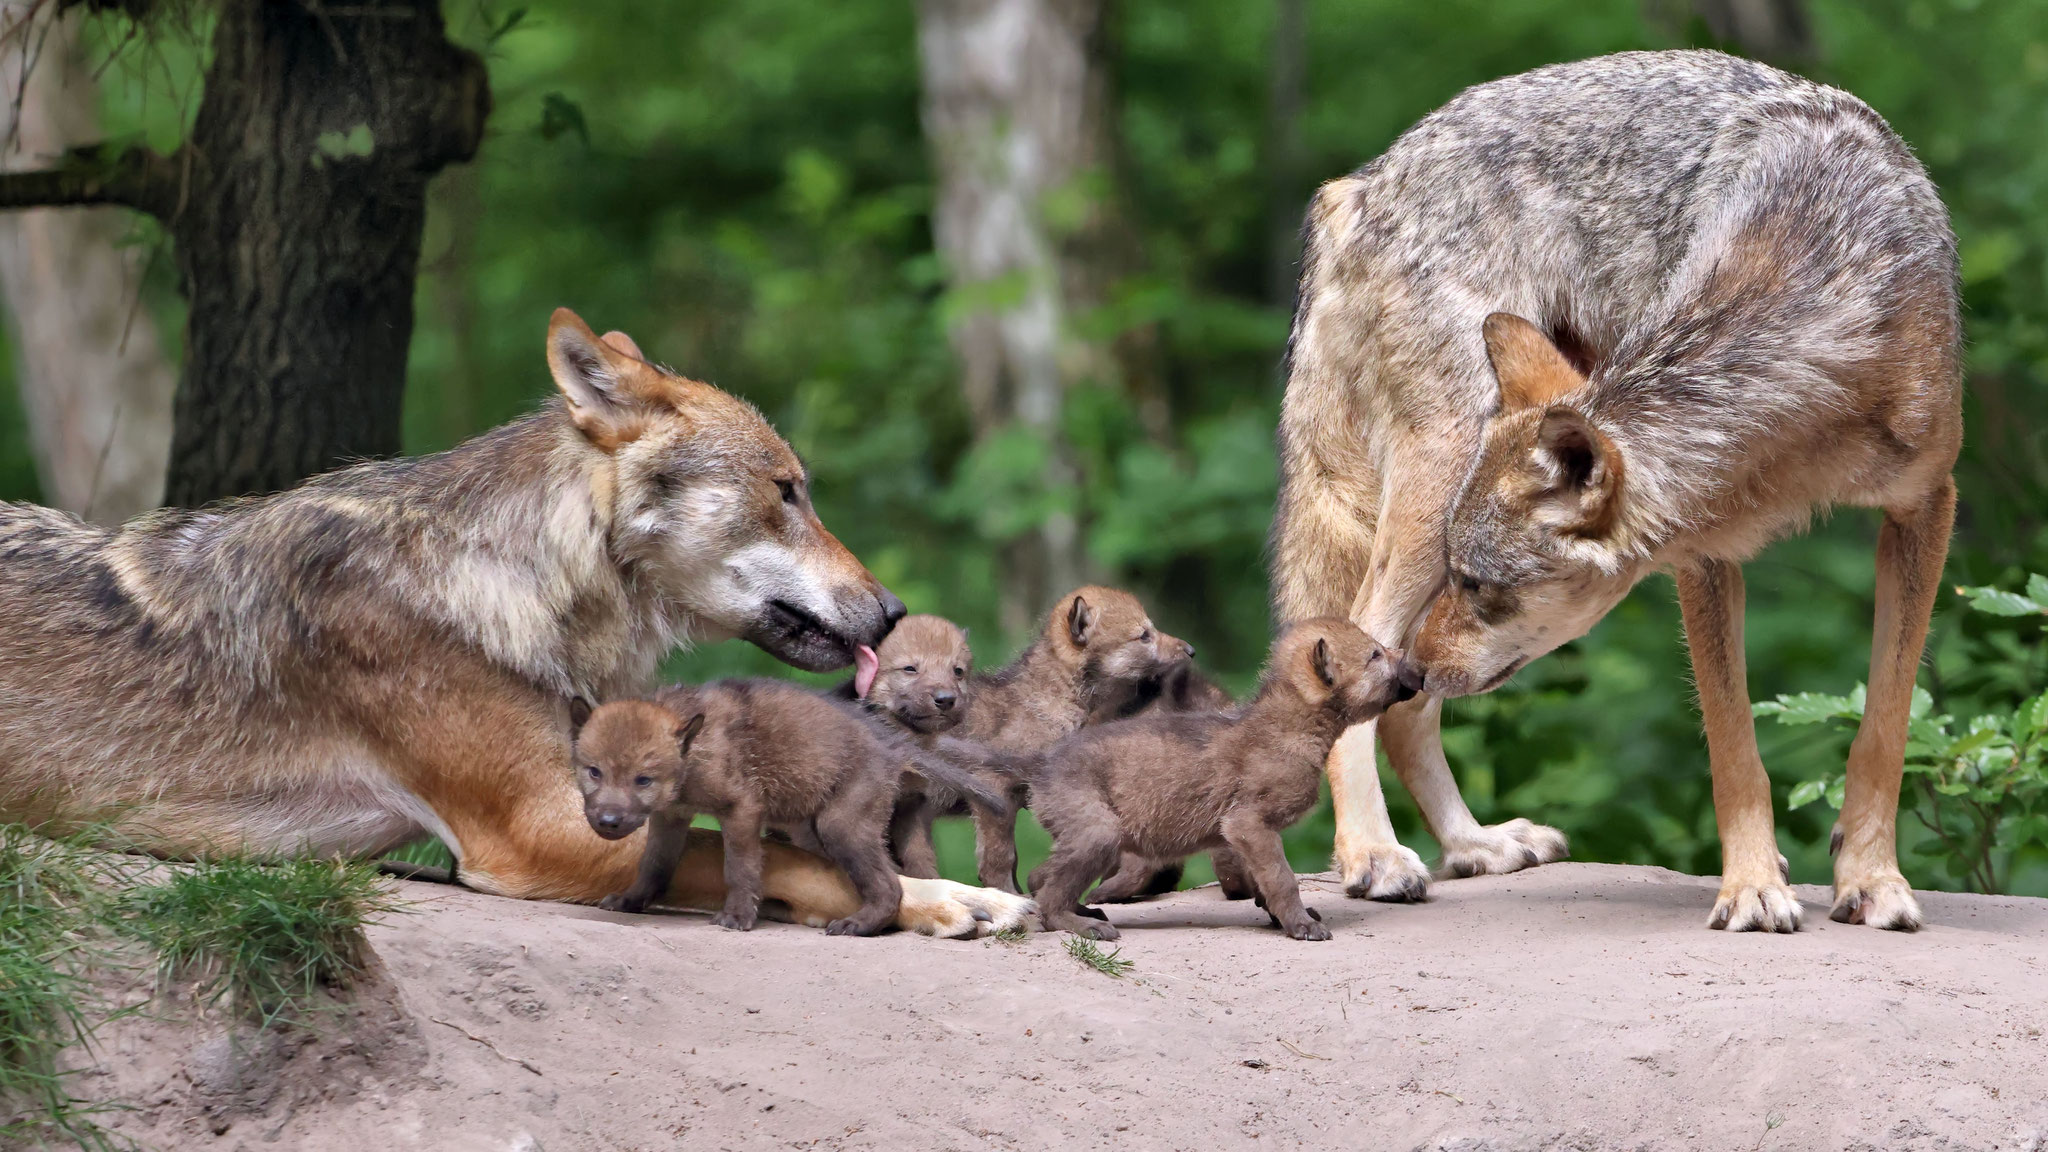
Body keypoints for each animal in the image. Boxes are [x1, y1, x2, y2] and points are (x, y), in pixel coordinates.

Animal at [4, 305, 1040, 934]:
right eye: (787, 491)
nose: (895, 612)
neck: (513, 581)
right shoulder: (546, 821)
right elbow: (783, 860)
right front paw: (947, 897)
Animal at [1269, 56, 1957, 934]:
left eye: (1480, 585)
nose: (1417, 669)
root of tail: (1359, 183)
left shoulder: (1924, 507)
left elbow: (1884, 728)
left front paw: (1870, 879)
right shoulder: (1702, 553)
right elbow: (1735, 749)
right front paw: (1751, 889)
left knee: (1403, 710)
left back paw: (1473, 844)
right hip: (1431, 489)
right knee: (1361, 663)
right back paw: (1375, 855)